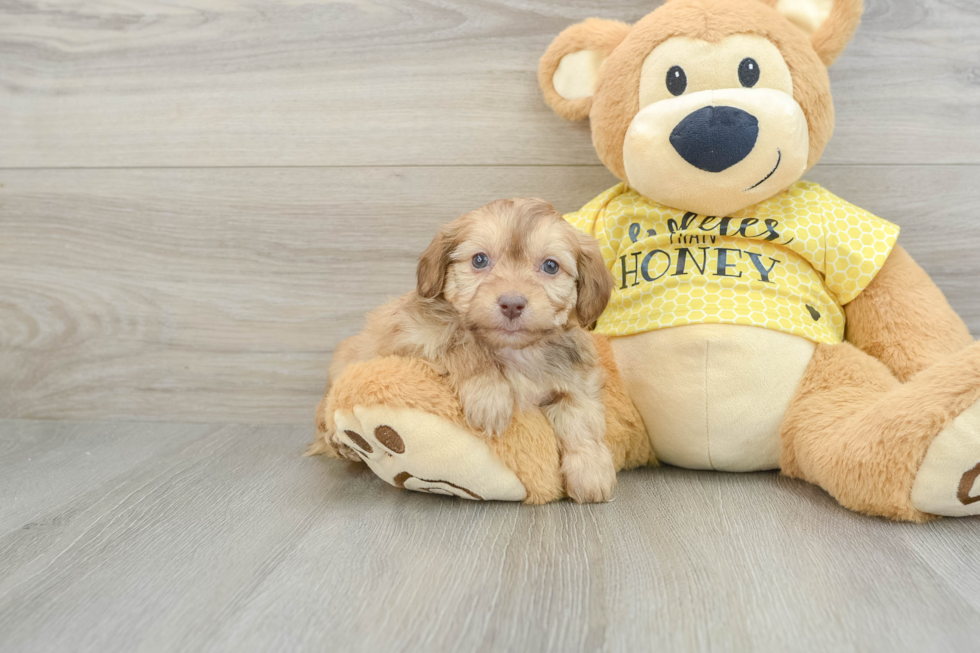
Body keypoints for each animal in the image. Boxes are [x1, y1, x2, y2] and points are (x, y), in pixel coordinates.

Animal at [330, 196, 620, 502]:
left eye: (551, 266)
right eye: (479, 260)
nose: (512, 303)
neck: (514, 350)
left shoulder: (577, 375)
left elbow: (582, 416)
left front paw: (591, 471)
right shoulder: (413, 336)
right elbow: (461, 340)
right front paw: (490, 397)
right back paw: (343, 443)